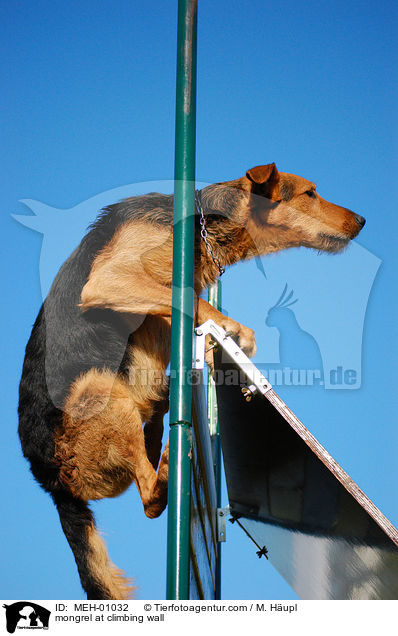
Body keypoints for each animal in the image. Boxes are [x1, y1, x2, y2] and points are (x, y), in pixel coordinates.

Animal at [18, 163, 366, 596]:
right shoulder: (110, 279)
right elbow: (193, 300)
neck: (205, 221)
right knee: (149, 499)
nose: (363, 221)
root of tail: (53, 486)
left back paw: (162, 427)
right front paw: (235, 331)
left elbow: (186, 305)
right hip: (98, 390)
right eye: (310, 193)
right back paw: (168, 462)